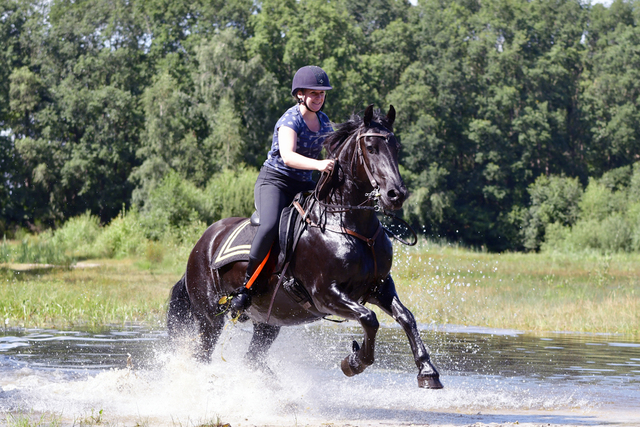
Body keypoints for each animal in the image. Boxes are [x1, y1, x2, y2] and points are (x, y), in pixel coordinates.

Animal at [168, 105, 442, 390]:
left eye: (396, 147)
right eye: (371, 147)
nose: (396, 194)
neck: (347, 224)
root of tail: (203, 243)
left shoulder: (379, 286)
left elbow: (406, 317)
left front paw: (427, 371)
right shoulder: (325, 294)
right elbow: (369, 318)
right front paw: (354, 362)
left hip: (268, 321)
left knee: (252, 358)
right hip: (210, 316)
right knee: (203, 355)